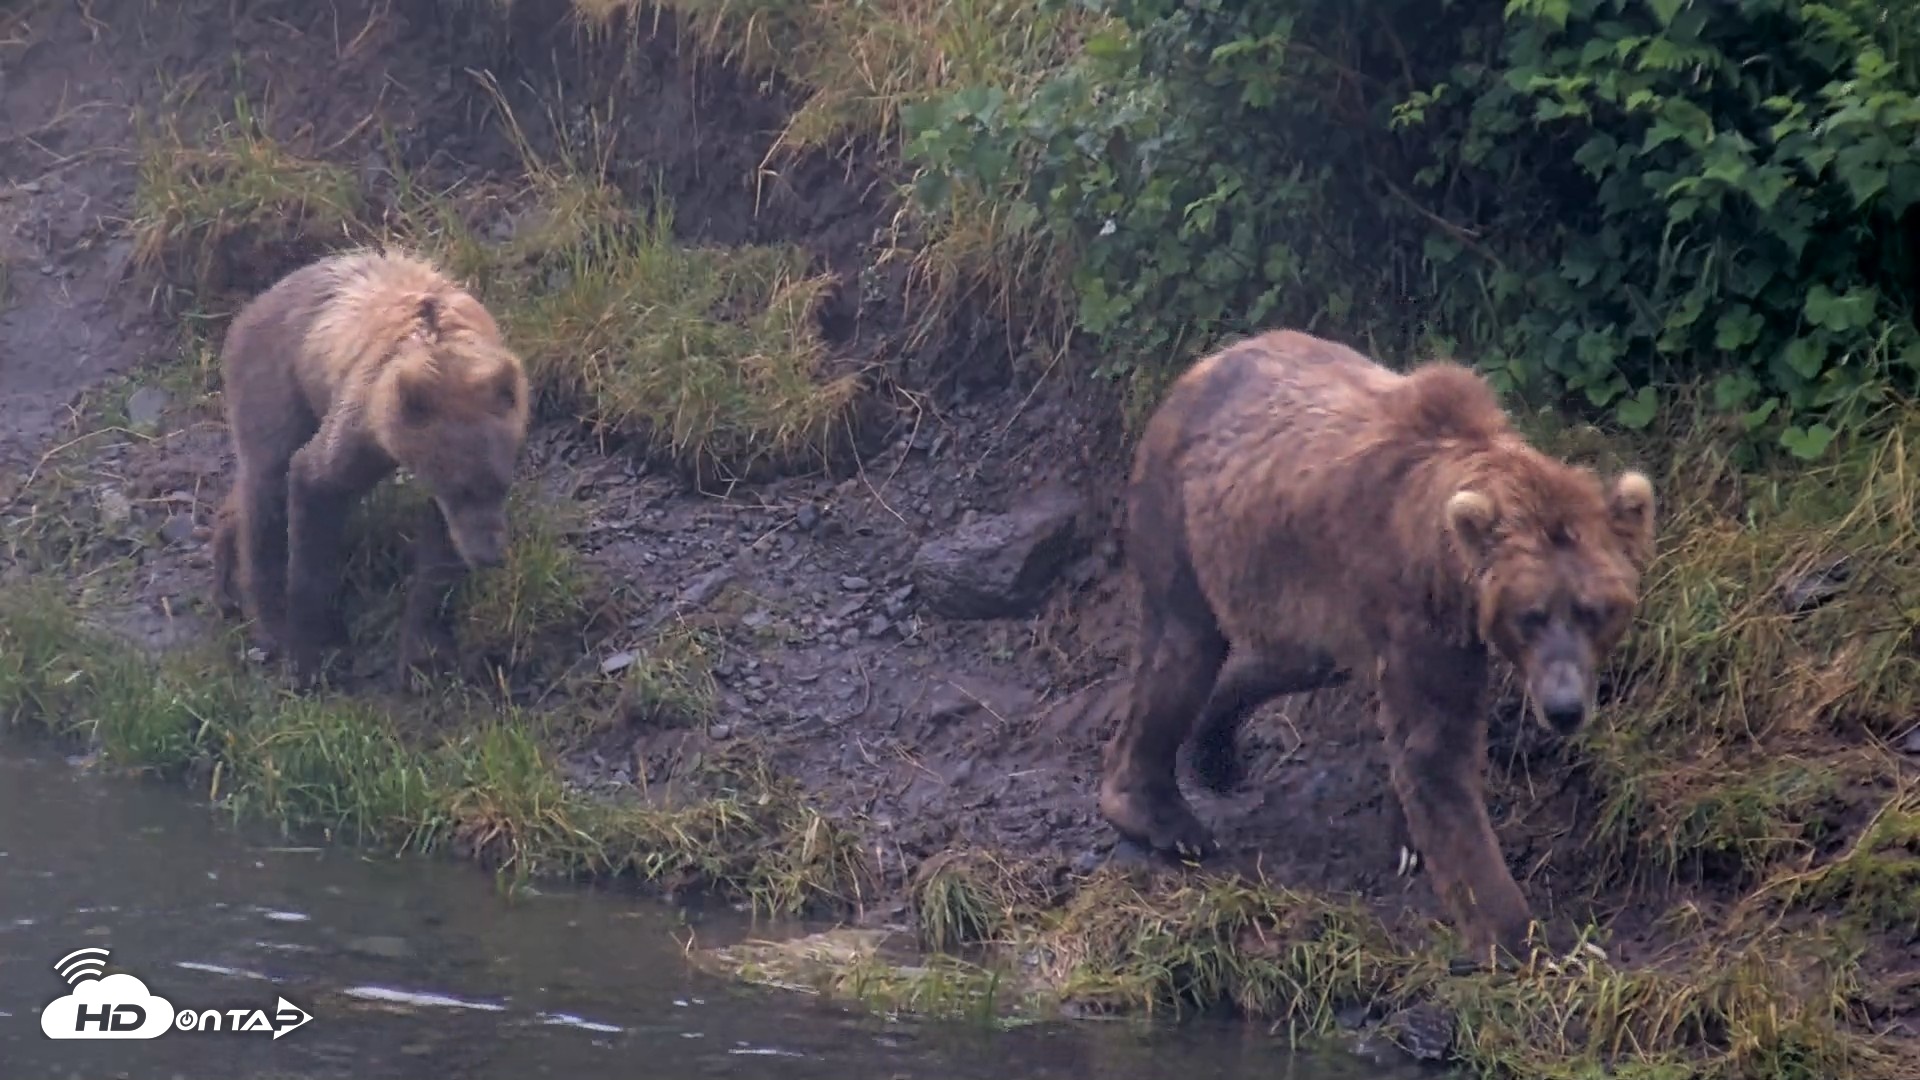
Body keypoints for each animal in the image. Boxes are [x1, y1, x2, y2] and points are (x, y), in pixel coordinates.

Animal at [209, 247, 531, 686]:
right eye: (460, 487)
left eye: (500, 486)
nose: (489, 555)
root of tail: (251, 305)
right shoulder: (362, 415)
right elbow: (317, 483)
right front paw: (311, 651)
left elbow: (438, 552)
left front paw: (425, 652)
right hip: (274, 380)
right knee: (266, 485)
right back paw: (264, 615)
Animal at [1097, 328, 1656, 963]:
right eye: (1531, 615)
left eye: (1594, 611)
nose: (1564, 709)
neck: (1451, 568)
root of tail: (1203, 364)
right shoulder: (1417, 610)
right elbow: (1435, 749)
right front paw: (1527, 937)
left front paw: (1409, 840)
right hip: (1179, 512)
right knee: (1181, 646)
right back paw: (1160, 816)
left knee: (1296, 658)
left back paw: (1215, 750)